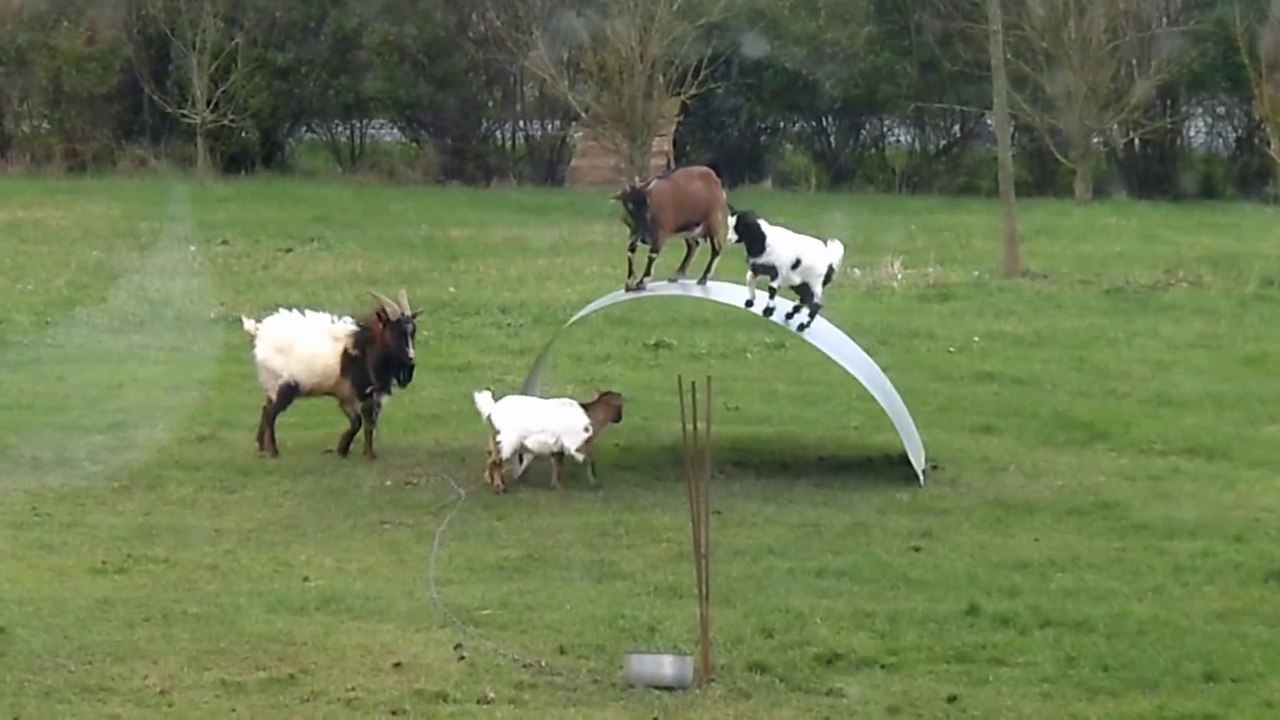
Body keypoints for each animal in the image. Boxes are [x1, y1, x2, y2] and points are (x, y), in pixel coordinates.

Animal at [240, 289, 421, 459]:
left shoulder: (356, 395)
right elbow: (360, 421)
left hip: (272, 385)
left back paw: (261, 446)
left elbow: (365, 422)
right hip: (284, 385)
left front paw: (355, 452)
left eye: (413, 333)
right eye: (394, 333)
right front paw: (352, 451)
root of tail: (259, 332)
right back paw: (273, 451)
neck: (363, 348)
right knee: (271, 414)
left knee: (266, 409)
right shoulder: (355, 393)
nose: (411, 360)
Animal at [473, 388, 625, 493]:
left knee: (491, 457)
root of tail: (493, 409)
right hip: (508, 439)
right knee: (496, 461)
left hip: (497, 438)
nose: (619, 419)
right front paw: (594, 483)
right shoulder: (577, 444)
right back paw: (500, 487)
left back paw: (490, 480)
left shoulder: (557, 446)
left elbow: (557, 464)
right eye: (620, 406)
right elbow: (590, 459)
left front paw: (556, 485)